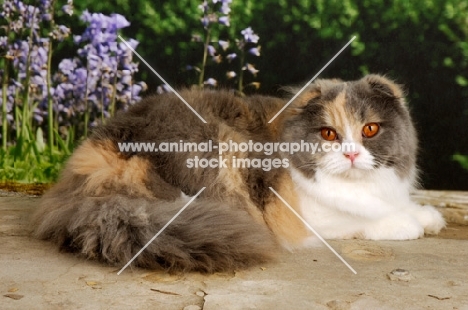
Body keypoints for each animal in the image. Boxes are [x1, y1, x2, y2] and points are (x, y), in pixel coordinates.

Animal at [32, 74, 446, 272]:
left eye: (370, 130)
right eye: (328, 134)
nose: (351, 154)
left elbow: (399, 204)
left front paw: (426, 216)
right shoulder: (310, 214)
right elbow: (365, 218)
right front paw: (406, 224)